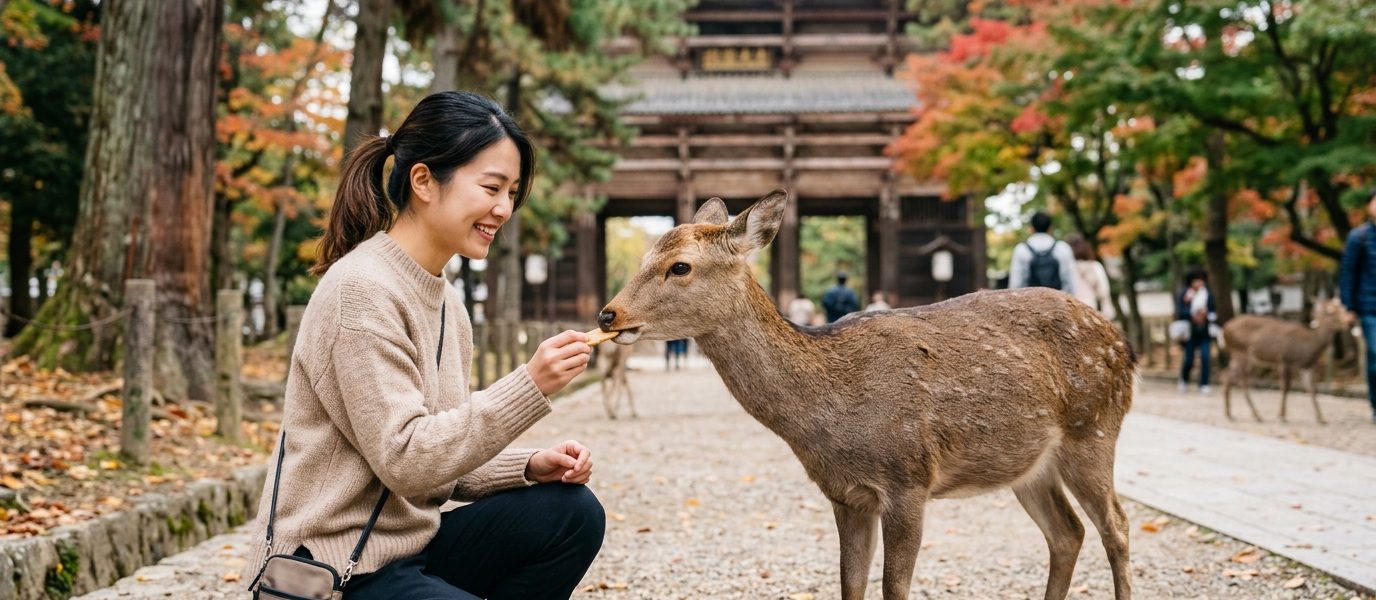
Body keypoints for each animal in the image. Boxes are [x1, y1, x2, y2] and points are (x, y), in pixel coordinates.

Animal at [597, 191, 1137, 600]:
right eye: (644, 257)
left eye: (680, 266)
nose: (608, 314)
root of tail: (1123, 343)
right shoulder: (845, 495)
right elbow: (850, 585)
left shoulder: (909, 480)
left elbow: (893, 588)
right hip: (1027, 464)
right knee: (1068, 533)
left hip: (1094, 431)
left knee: (1116, 526)